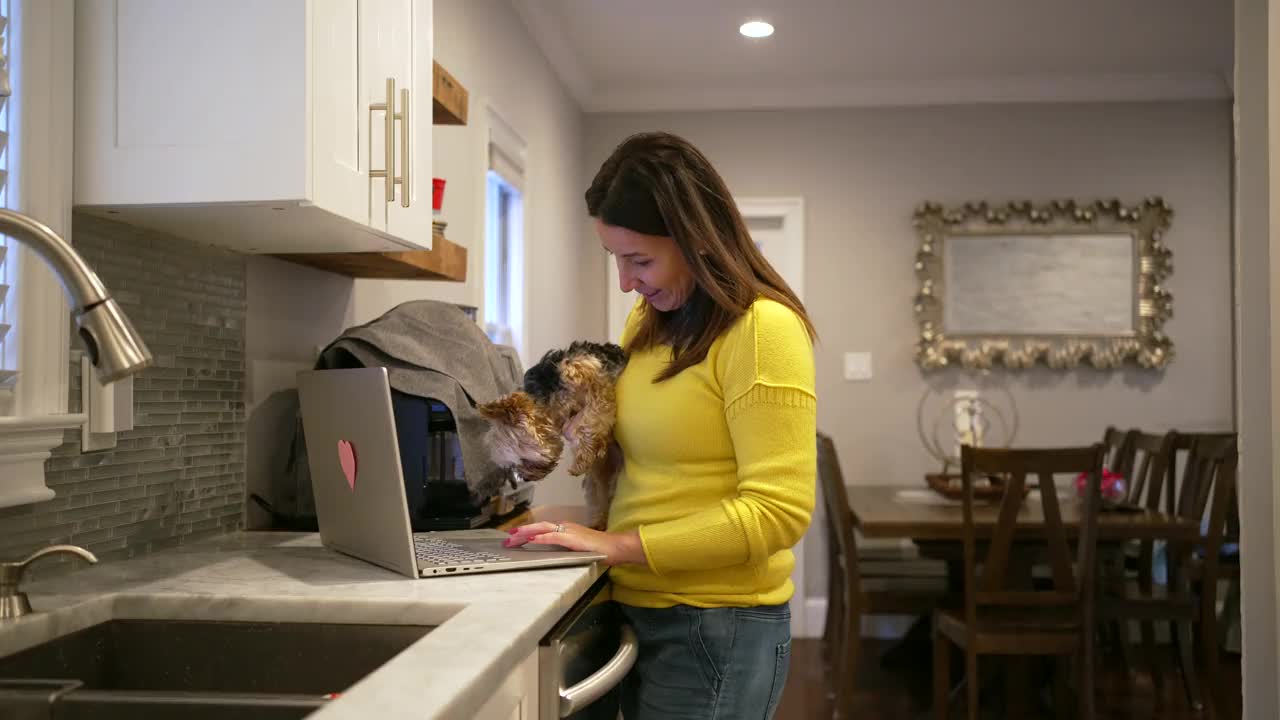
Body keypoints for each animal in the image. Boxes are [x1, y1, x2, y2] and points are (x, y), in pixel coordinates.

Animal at [476, 338, 624, 530]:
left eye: (520, 459)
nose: (525, 478)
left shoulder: (591, 375)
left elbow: (593, 413)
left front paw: (583, 456)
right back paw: (598, 523)